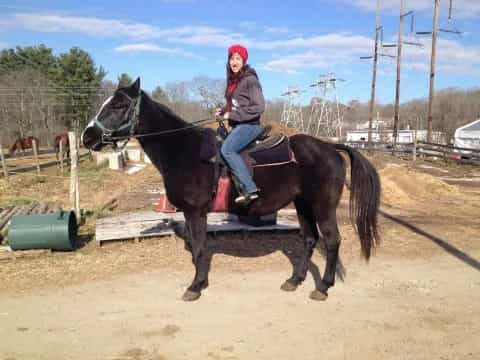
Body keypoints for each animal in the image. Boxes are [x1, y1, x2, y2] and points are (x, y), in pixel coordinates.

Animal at [82, 79, 382, 300]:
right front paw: (200, 281)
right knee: (309, 240)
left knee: (331, 241)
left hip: (323, 207)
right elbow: (196, 247)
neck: (186, 151)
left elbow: (200, 248)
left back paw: (322, 287)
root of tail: (331, 147)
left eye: (119, 104)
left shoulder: (196, 212)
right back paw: (294, 280)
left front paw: (195, 286)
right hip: (303, 205)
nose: (87, 136)